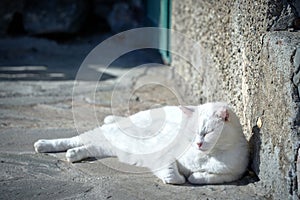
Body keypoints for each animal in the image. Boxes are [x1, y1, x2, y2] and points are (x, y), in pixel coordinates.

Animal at [33, 102, 248, 185]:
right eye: (193, 133)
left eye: (207, 133)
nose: (197, 144)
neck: (206, 157)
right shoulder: (165, 154)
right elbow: (173, 175)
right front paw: (179, 178)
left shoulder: (233, 174)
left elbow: (205, 177)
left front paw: (195, 176)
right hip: (108, 133)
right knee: (76, 138)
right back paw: (43, 145)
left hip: (110, 146)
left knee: (90, 146)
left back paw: (73, 154)